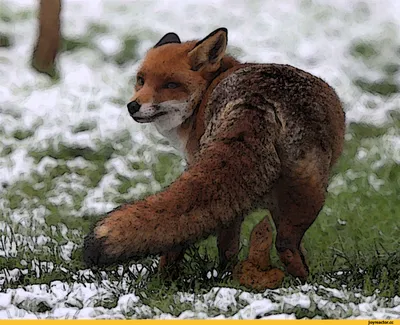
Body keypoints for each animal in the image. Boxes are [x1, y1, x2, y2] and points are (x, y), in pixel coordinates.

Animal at [83, 26, 346, 288]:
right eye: (141, 80)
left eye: (170, 84)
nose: (133, 106)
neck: (202, 99)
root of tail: (256, 99)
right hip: (298, 194)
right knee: (275, 245)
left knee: (278, 245)